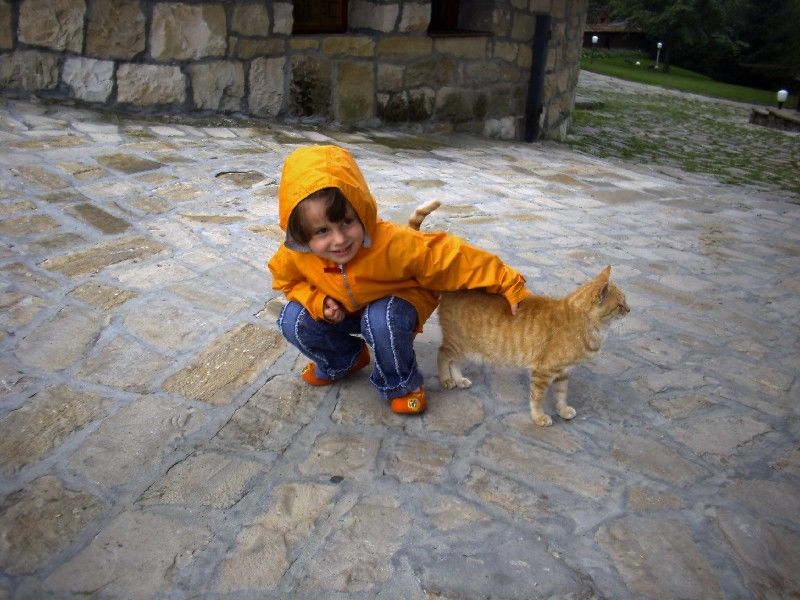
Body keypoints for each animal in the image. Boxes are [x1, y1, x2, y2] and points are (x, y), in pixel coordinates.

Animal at [408, 201, 629, 427]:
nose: (629, 310)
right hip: (459, 342)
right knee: (443, 354)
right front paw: (539, 417)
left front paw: (563, 410)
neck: (589, 325)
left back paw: (459, 379)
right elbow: (538, 398)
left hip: (467, 346)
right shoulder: (543, 371)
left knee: (454, 360)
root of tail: (453, 286)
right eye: (620, 304)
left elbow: (561, 395)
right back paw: (446, 379)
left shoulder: (562, 373)